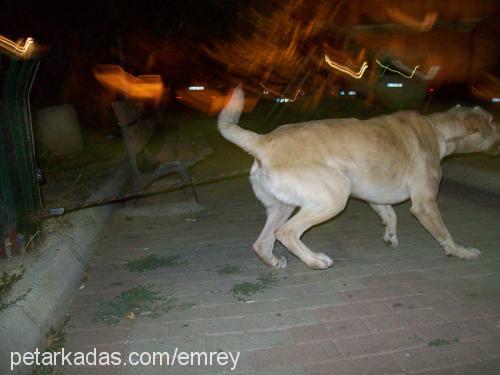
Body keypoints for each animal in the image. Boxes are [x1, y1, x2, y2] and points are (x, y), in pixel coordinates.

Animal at [219, 87, 500, 270]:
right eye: (492, 120)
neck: (437, 130)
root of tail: (264, 141)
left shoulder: (375, 196)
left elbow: (391, 215)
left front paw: (390, 236)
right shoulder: (425, 204)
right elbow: (445, 234)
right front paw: (461, 252)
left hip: (283, 206)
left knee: (262, 243)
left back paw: (274, 261)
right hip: (333, 198)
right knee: (285, 233)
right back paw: (315, 260)